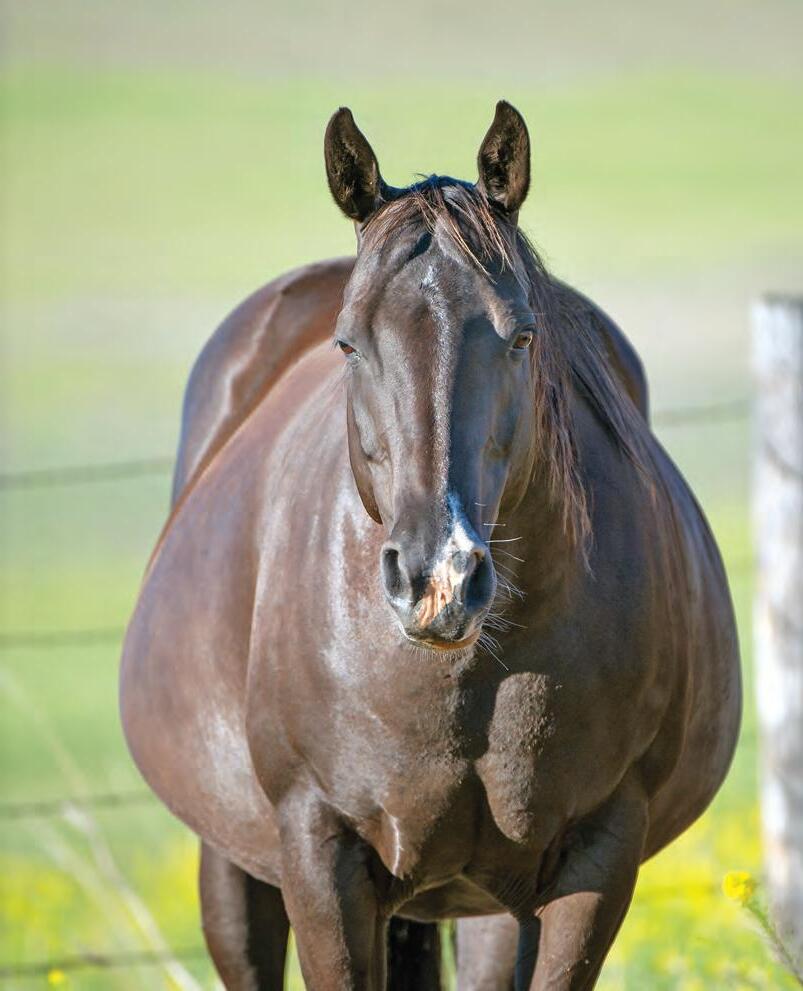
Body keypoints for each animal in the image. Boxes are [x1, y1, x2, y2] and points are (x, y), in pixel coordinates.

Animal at [120, 102, 741, 990]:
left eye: (520, 337)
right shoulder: (318, 852)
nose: (437, 578)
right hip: (233, 866)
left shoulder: (596, 854)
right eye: (348, 343)